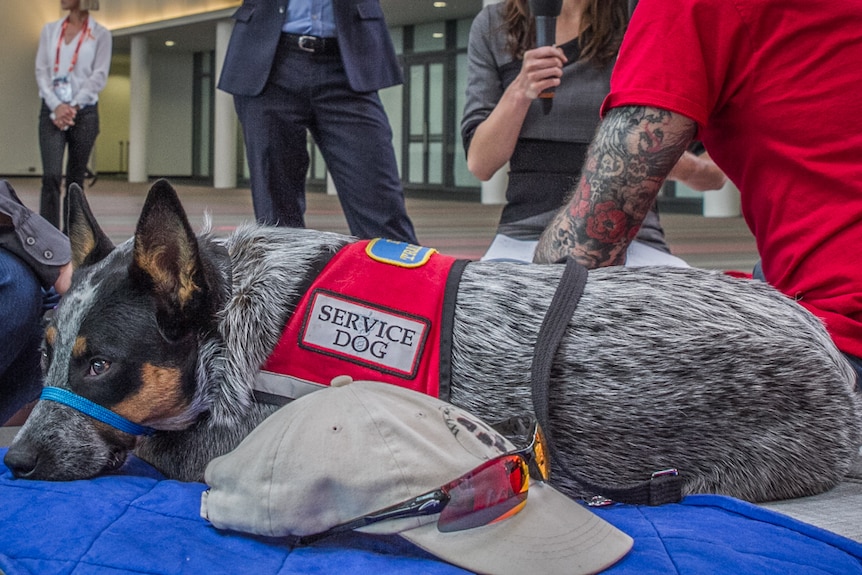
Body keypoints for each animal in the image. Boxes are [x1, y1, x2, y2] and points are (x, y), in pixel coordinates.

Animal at [3, 181, 860, 504]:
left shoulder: (237, 442)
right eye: (46, 352)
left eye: (100, 363)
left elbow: (153, 443)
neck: (239, 322)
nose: (16, 460)